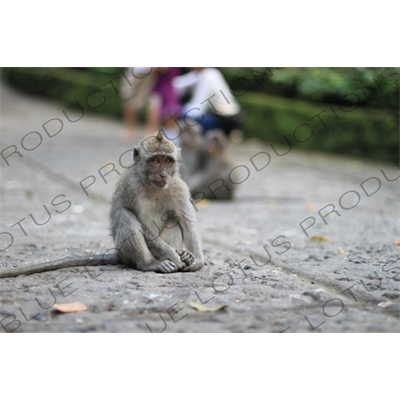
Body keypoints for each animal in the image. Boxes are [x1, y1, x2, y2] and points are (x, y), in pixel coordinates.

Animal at [0, 131, 203, 278]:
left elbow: (187, 221)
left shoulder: (178, 187)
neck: (153, 186)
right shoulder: (130, 186)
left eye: (167, 161)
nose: (163, 174)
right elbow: (137, 220)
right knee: (125, 216)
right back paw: (151, 264)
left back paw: (182, 253)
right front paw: (173, 255)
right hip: (126, 251)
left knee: (174, 219)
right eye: (155, 161)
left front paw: (196, 260)